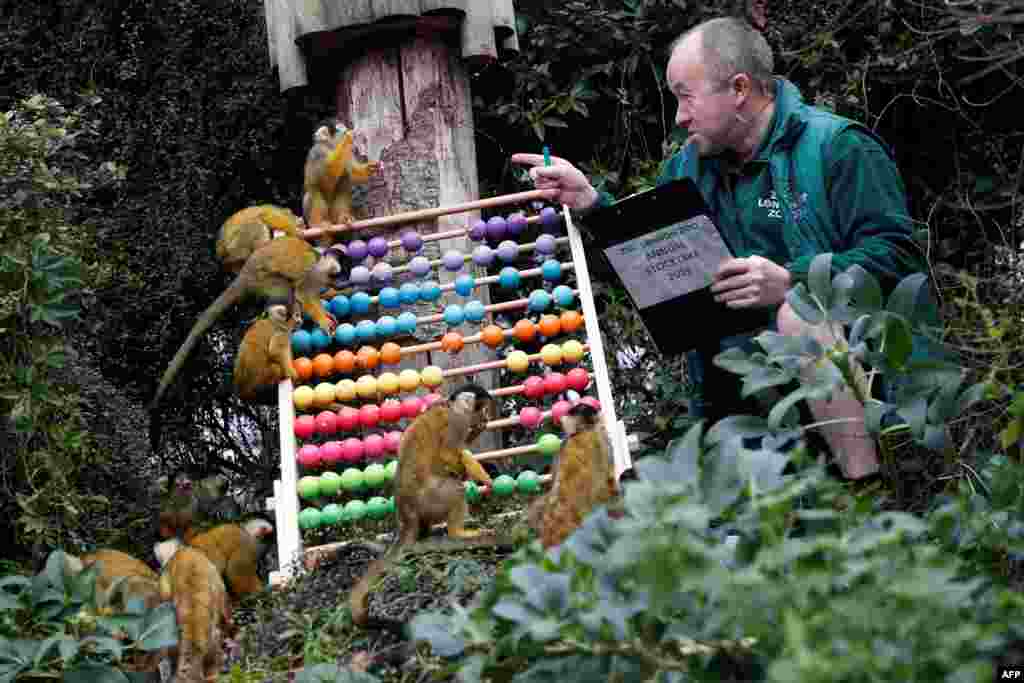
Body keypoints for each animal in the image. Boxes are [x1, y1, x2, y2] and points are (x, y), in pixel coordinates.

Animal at [149, 237, 348, 409]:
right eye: (339, 275)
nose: (341, 284)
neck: (319, 264)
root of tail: (244, 274)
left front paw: (326, 314)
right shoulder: (311, 271)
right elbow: (303, 293)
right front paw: (322, 321)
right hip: (262, 280)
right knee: (286, 289)